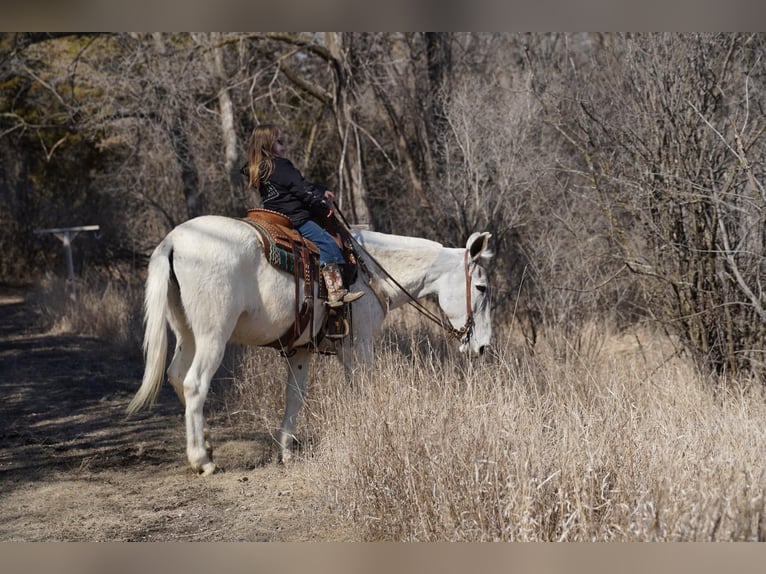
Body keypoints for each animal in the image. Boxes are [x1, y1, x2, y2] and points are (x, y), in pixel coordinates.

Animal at [127, 216, 496, 476]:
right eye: (481, 287)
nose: (482, 347)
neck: (370, 270)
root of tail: (173, 241)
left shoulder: (300, 349)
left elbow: (295, 396)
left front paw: (286, 451)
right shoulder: (357, 346)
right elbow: (360, 389)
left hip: (186, 334)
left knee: (176, 376)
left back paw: (205, 442)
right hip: (211, 336)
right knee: (194, 384)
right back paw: (201, 459)